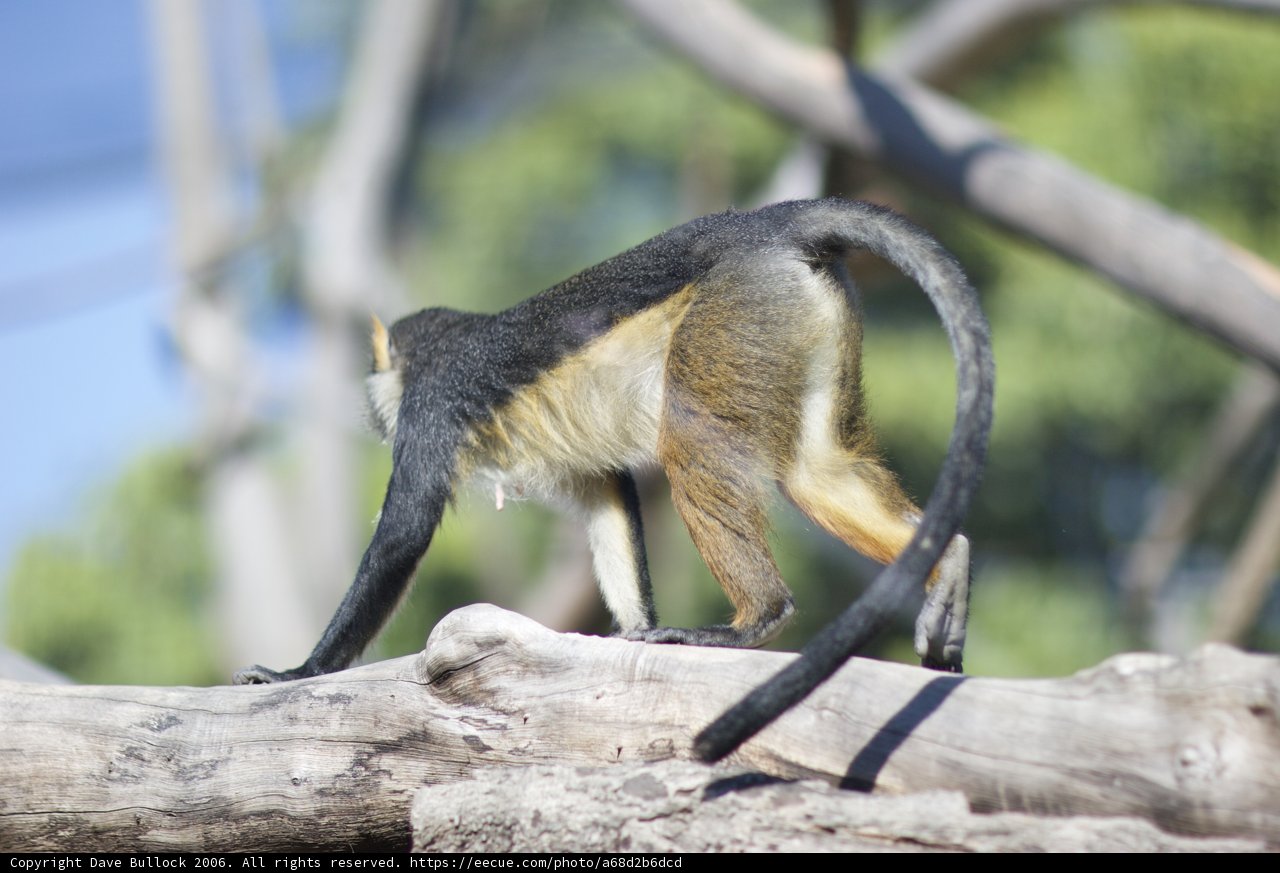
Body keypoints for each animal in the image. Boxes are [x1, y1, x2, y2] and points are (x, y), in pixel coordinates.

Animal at [233, 198, 994, 762]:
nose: (369, 409)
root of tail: (767, 224)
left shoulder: (431, 407)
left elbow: (403, 532)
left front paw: (298, 672)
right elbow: (609, 495)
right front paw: (628, 635)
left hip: (737, 312)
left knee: (691, 439)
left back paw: (755, 617)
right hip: (793, 319)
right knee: (817, 470)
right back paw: (951, 560)